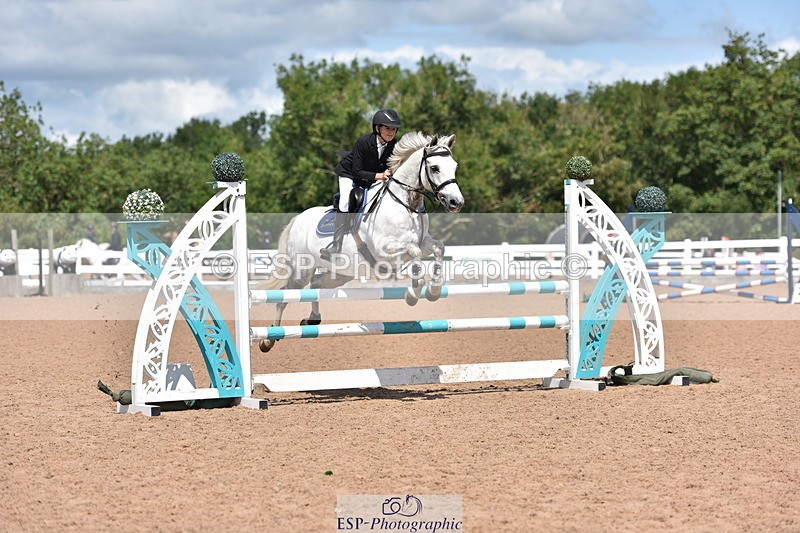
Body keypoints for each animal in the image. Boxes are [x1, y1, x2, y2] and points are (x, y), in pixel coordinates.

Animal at [258, 132, 464, 352]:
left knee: (317, 284)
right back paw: (268, 339)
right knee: (284, 297)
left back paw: (312, 319)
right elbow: (414, 252)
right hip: (301, 270)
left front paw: (434, 291)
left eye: (454, 166)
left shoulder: (423, 242)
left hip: (339, 274)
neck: (406, 203)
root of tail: (297, 219)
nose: (456, 203)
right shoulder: (385, 250)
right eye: (434, 168)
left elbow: (438, 248)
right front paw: (412, 293)